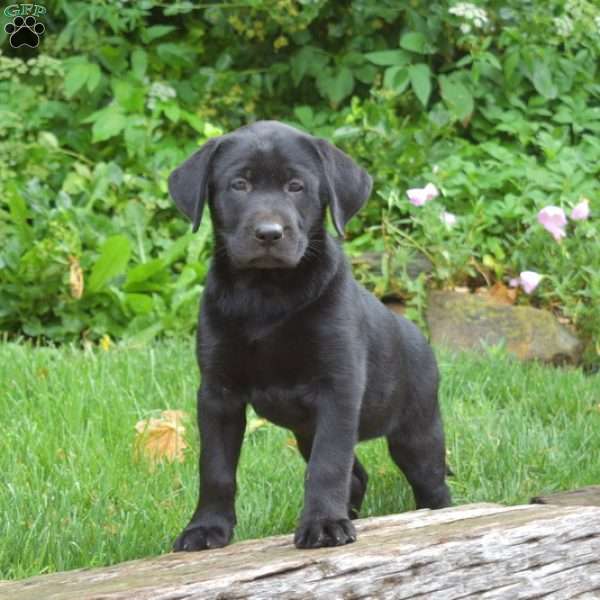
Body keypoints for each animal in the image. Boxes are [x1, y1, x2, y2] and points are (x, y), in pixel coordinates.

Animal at [168, 119, 450, 552]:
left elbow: (328, 464)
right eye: (239, 185)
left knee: (430, 481)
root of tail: (418, 335)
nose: (269, 233)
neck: (266, 294)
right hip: (305, 429)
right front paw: (206, 528)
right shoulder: (217, 393)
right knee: (358, 476)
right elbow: (215, 468)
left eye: (296, 186)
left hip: (417, 431)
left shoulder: (338, 389)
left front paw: (324, 524)